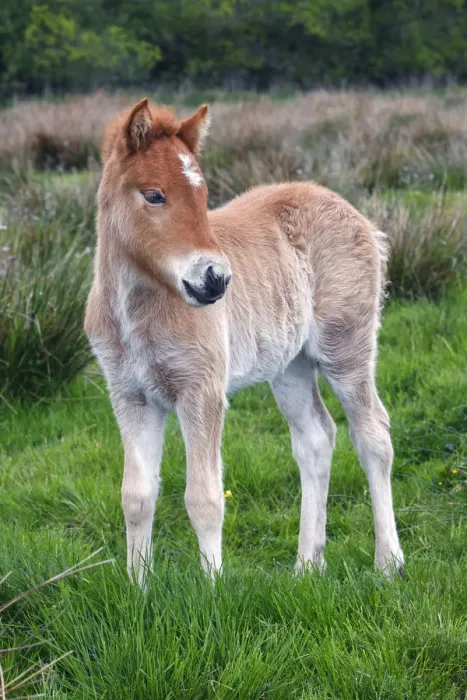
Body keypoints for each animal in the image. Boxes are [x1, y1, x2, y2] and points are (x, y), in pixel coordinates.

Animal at [84, 98, 404, 583]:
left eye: (203, 197)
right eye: (154, 195)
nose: (215, 280)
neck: (135, 312)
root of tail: (357, 215)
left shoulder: (201, 390)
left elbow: (204, 497)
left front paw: (213, 589)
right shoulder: (130, 396)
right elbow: (136, 497)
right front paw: (138, 589)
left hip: (346, 344)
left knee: (373, 436)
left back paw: (388, 562)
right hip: (290, 365)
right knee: (316, 438)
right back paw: (307, 565)